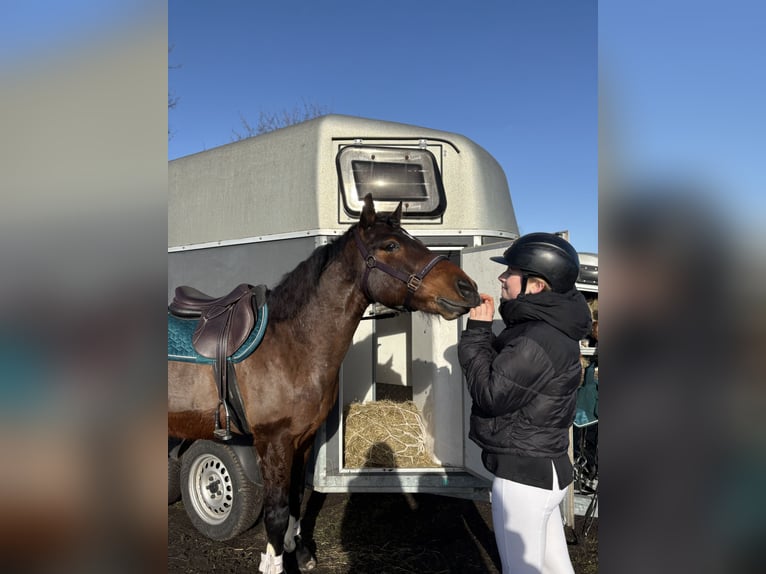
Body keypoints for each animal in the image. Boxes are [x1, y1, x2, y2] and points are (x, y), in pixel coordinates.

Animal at [168, 194, 480, 573]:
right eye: (390, 245)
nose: (468, 288)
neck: (291, 345)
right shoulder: (273, 442)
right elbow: (276, 513)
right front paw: (274, 563)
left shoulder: (302, 439)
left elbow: (295, 499)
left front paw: (299, 550)